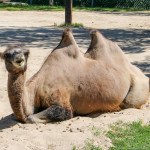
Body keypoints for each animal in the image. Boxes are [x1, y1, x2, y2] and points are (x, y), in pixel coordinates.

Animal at [0, 28, 149, 123]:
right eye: (6, 55)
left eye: (25, 53)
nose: (18, 59)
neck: (35, 88)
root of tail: (145, 76)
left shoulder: (62, 99)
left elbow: (32, 118)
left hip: (137, 89)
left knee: (128, 103)